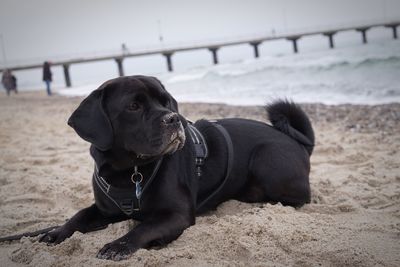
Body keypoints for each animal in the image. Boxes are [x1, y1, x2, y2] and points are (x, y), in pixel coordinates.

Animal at [40, 75, 316, 262]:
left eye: (166, 102)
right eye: (133, 106)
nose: (173, 118)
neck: (128, 172)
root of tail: (300, 143)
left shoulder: (176, 214)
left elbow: (143, 227)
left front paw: (119, 245)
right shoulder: (105, 210)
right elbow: (79, 216)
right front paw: (56, 232)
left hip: (265, 156)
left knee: (299, 198)